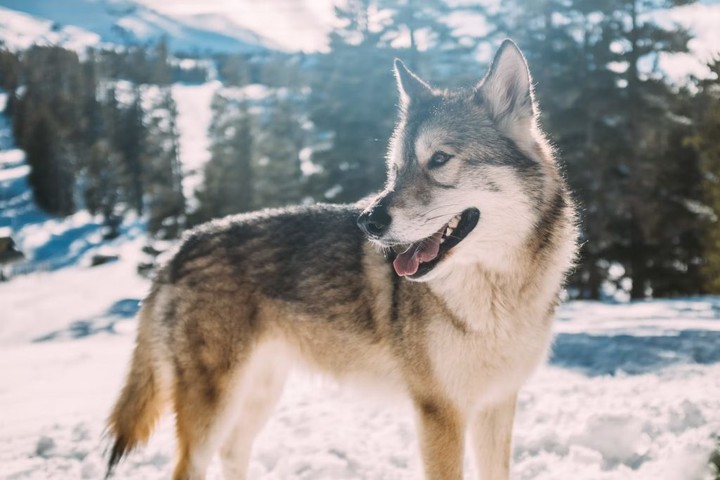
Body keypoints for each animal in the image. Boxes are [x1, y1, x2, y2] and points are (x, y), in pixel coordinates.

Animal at [107, 41, 580, 480]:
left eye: (440, 159)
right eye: (396, 169)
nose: (368, 220)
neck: (498, 295)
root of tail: (181, 246)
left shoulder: (496, 404)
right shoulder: (439, 412)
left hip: (260, 393)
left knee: (233, 452)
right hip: (216, 404)